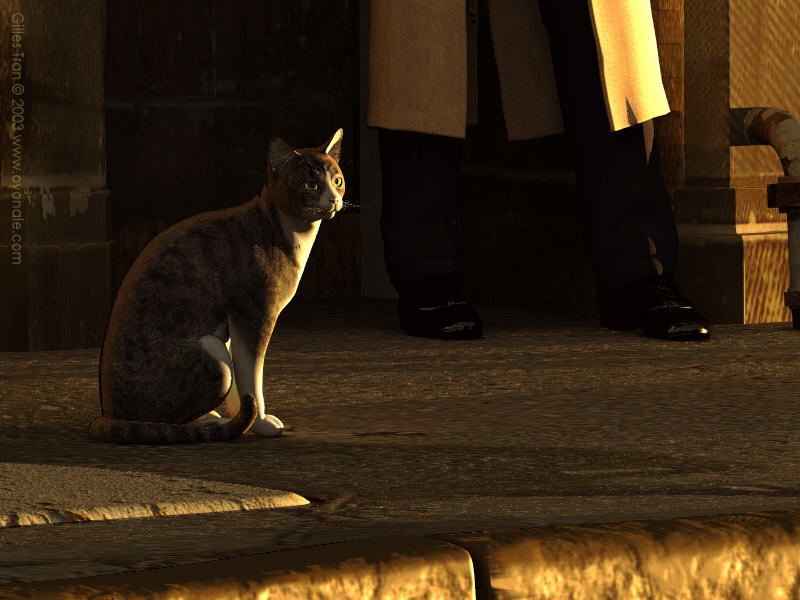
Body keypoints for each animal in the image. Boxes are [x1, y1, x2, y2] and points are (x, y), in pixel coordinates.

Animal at [89, 129, 346, 442]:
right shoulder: (254, 315)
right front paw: (261, 423)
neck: (288, 230)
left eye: (337, 181)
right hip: (214, 355)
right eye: (311, 184)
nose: (333, 199)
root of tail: (108, 413)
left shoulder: (237, 327)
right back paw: (207, 423)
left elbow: (242, 386)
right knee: (166, 421)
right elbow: (250, 375)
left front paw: (245, 418)